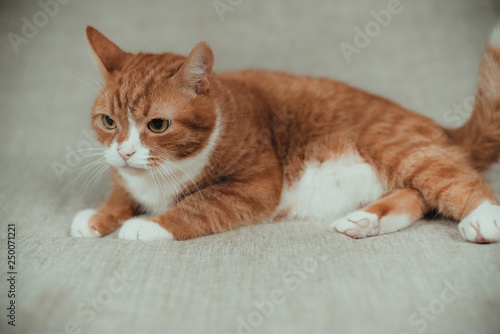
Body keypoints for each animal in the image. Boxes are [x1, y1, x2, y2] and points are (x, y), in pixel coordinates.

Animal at [71, 24, 500, 241]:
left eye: (157, 125)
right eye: (109, 122)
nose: (124, 152)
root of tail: (440, 128)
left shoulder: (254, 186)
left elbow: (198, 206)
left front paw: (146, 224)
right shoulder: (125, 178)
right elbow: (119, 194)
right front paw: (97, 217)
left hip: (399, 147)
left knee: (453, 182)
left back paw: (483, 218)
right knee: (417, 197)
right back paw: (365, 221)